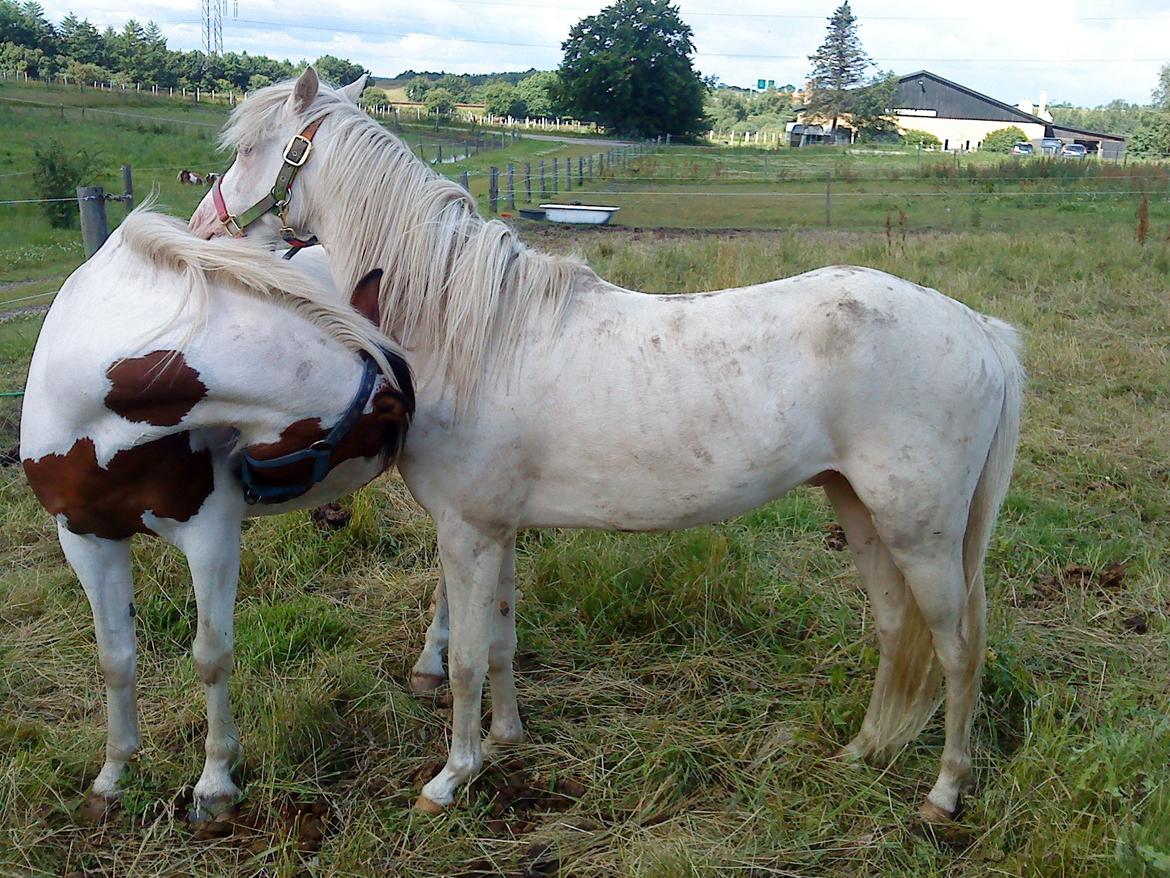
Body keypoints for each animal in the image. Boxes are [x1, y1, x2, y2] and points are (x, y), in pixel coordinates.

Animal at [19, 208, 414, 822]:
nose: (247, 480)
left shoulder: (210, 535)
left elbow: (211, 655)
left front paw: (214, 784)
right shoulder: (85, 538)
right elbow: (114, 658)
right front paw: (113, 776)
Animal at [190, 69, 1024, 824]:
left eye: (253, 148)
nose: (203, 229)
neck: (467, 330)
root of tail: (980, 329)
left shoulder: (466, 532)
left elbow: (464, 660)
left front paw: (452, 778)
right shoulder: (499, 530)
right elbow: (501, 639)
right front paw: (507, 740)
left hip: (922, 533)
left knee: (957, 650)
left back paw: (943, 794)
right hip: (860, 512)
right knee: (895, 629)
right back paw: (861, 753)